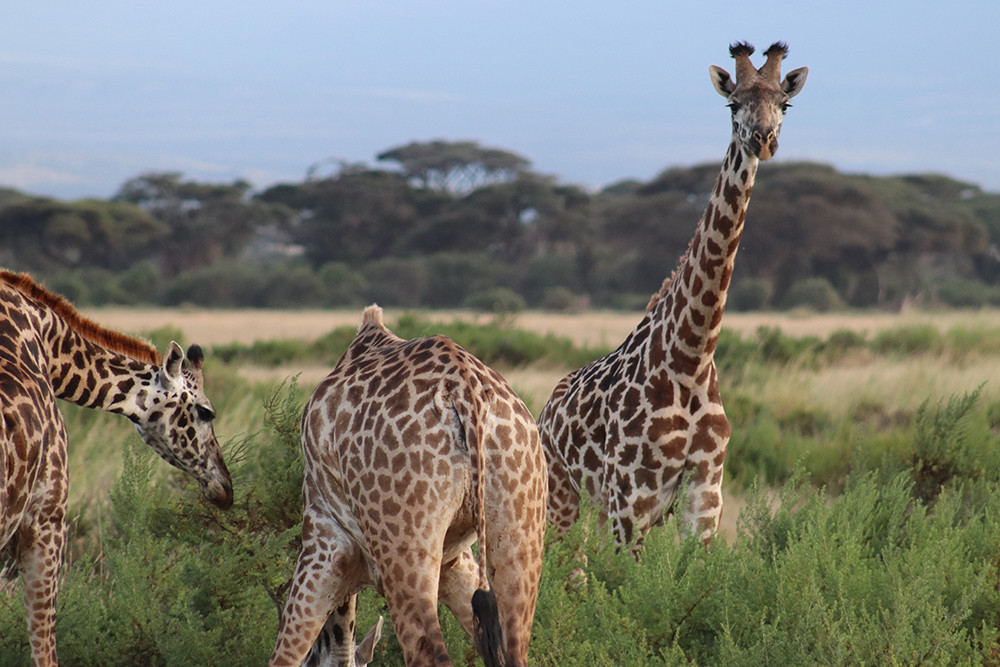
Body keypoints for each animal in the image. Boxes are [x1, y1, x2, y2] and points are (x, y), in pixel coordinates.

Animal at [269, 305, 547, 667]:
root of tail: (465, 391)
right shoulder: (455, 563)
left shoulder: (323, 537)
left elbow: (287, 653)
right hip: (519, 537)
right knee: (515, 649)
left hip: (402, 550)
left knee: (428, 651)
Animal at [537, 42, 808, 549]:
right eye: (732, 104)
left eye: (784, 104)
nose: (762, 140)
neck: (691, 359)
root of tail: (544, 414)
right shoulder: (633, 497)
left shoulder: (705, 495)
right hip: (563, 501)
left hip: (595, 512)